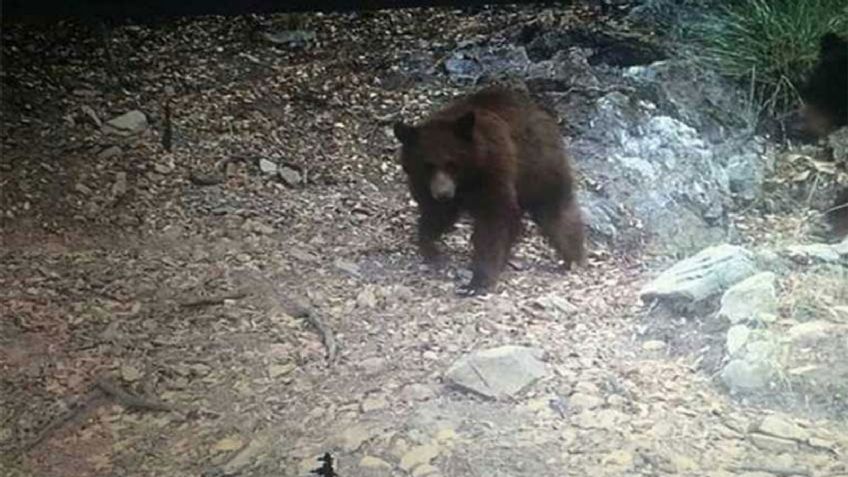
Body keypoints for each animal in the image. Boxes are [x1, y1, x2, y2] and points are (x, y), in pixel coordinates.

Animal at [393, 86, 586, 295]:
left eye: (452, 164)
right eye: (427, 165)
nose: (442, 193)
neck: (467, 178)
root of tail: (539, 111)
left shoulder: (493, 171)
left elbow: (494, 219)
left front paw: (478, 280)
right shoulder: (426, 186)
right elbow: (435, 215)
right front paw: (431, 248)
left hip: (538, 165)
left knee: (554, 209)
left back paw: (573, 256)